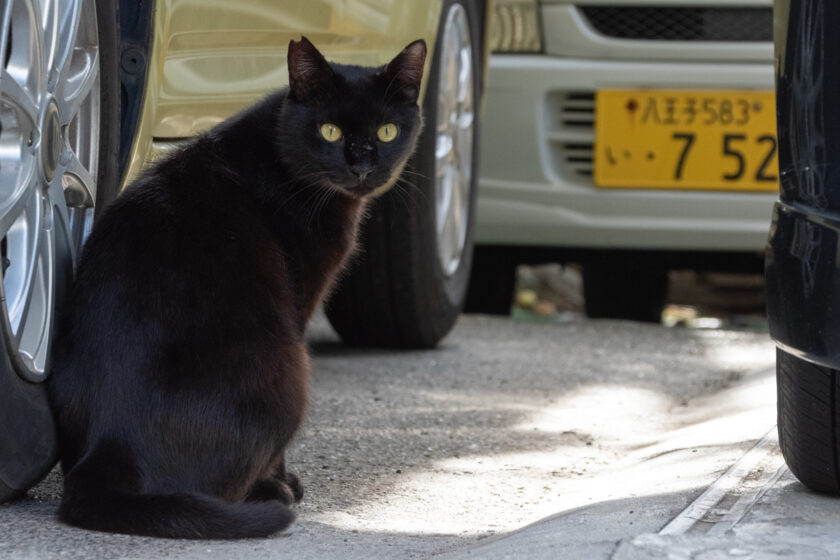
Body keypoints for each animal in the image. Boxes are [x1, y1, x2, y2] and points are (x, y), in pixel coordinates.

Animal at [46, 35, 426, 540]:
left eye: (386, 132)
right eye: (329, 131)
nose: (363, 166)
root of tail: (110, 440)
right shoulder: (299, 304)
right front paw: (285, 481)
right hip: (290, 369)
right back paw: (269, 493)